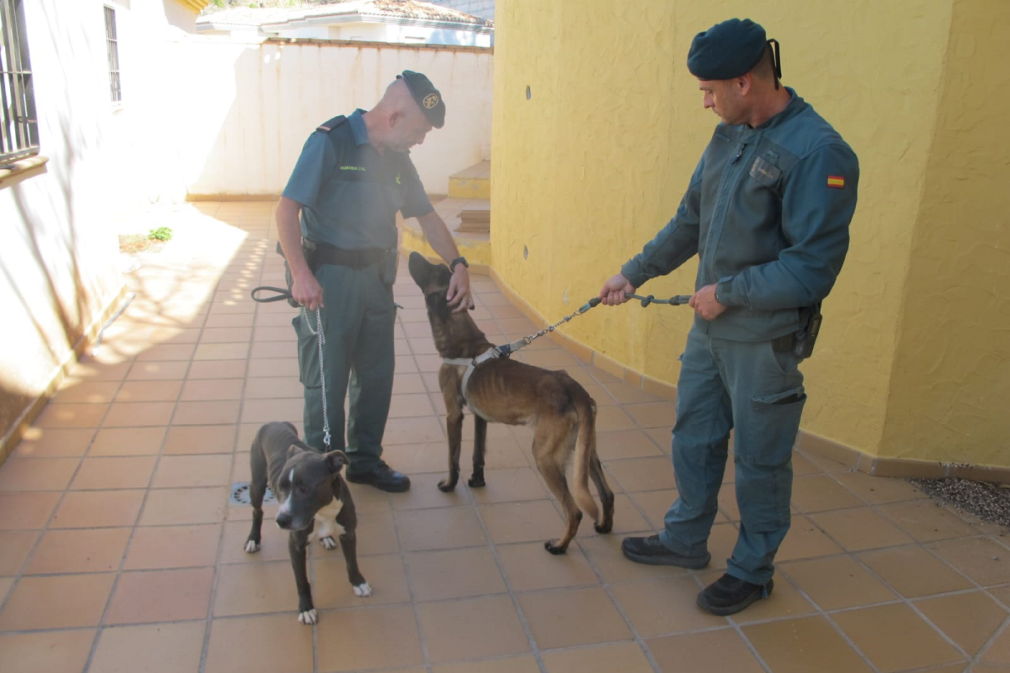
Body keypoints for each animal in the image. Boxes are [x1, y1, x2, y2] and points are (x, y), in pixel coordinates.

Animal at [408, 251, 614, 549]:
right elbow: (477, 455)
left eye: (430, 269)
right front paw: (477, 481)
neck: (462, 340)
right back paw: (605, 526)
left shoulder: (453, 414)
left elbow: (453, 457)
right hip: (586, 450)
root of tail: (573, 389)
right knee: (607, 494)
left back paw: (559, 546)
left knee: (574, 510)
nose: (412, 254)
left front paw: (449, 484)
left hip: (545, 456)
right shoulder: (480, 417)